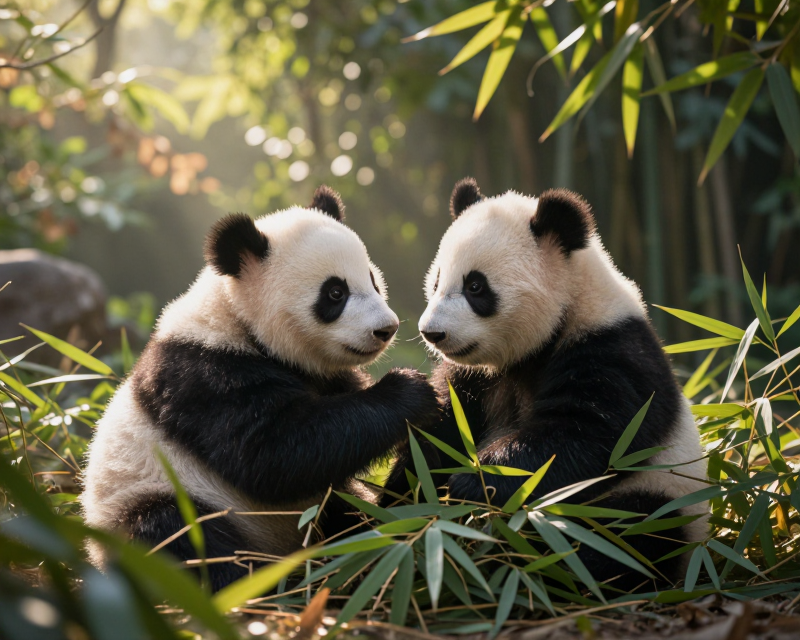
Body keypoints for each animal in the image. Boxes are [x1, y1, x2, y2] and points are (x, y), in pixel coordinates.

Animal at [81, 186, 438, 590]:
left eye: (373, 280)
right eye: (335, 293)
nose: (386, 329)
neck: (235, 318)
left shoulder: (319, 374)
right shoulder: (203, 377)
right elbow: (272, 453)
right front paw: (410, 390)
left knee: (339, 506)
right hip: (154, 499)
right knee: (177, 535)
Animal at [386, 178, 707, 589]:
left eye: (475, 286)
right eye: (438, 280)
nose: (433, 333)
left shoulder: (611, 351)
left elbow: (583, 436)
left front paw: (474, 483)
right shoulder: (475, 379)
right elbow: (440, 432)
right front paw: (405, 498)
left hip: (666, 495)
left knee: (630, 534)